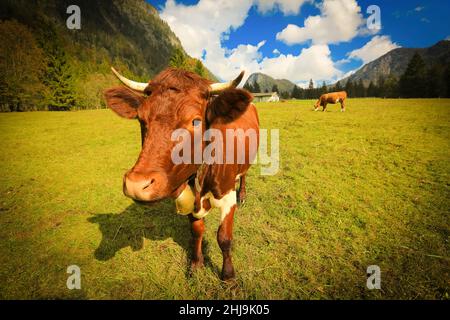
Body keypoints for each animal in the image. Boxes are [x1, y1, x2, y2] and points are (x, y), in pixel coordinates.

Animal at [104, 67, 260, 280]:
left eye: (195, 121)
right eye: (141, 119)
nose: (136, 185)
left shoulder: (227, 195)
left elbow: (224, 238)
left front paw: (228, 275)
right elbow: (196, 231)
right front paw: (196, 264)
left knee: (244, 175)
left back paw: (243, 194)